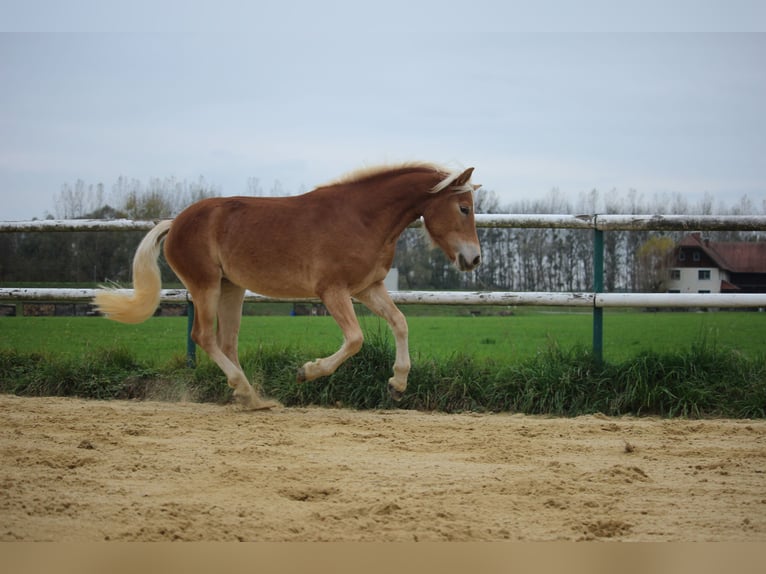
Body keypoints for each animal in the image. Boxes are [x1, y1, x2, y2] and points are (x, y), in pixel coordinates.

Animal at [93, 164, 484, 412]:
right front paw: (307, 371)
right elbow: (355, 339)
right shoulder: (333, 291)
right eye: (464, 208)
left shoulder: (367, 288)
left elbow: (400, 323)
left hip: (231, 288)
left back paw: (251, 399)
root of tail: (175, 223)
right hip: (205, 286)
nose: (474, 259)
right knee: (203, 337)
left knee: (226, 341)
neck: (362, 218)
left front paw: (397, 385)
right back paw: (246, 391)